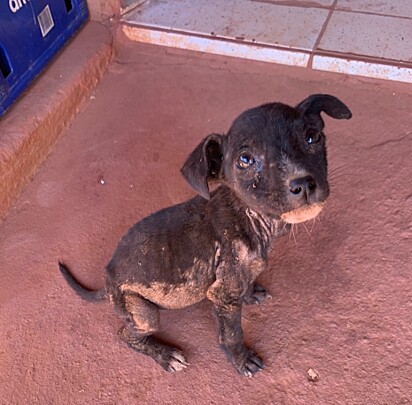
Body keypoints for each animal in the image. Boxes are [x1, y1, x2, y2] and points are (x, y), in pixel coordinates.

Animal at [59, 94, 352, 376]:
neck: (250, 216)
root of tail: (107, 279)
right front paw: (241, 359)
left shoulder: (232, 283)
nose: (303, 184)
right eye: (245, 160)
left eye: (311, 136)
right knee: (126, 334)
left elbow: (245, 284)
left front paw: (250, 293)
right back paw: (165, 355)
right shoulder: (221, 296)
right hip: (142, 313)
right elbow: (232, 332)